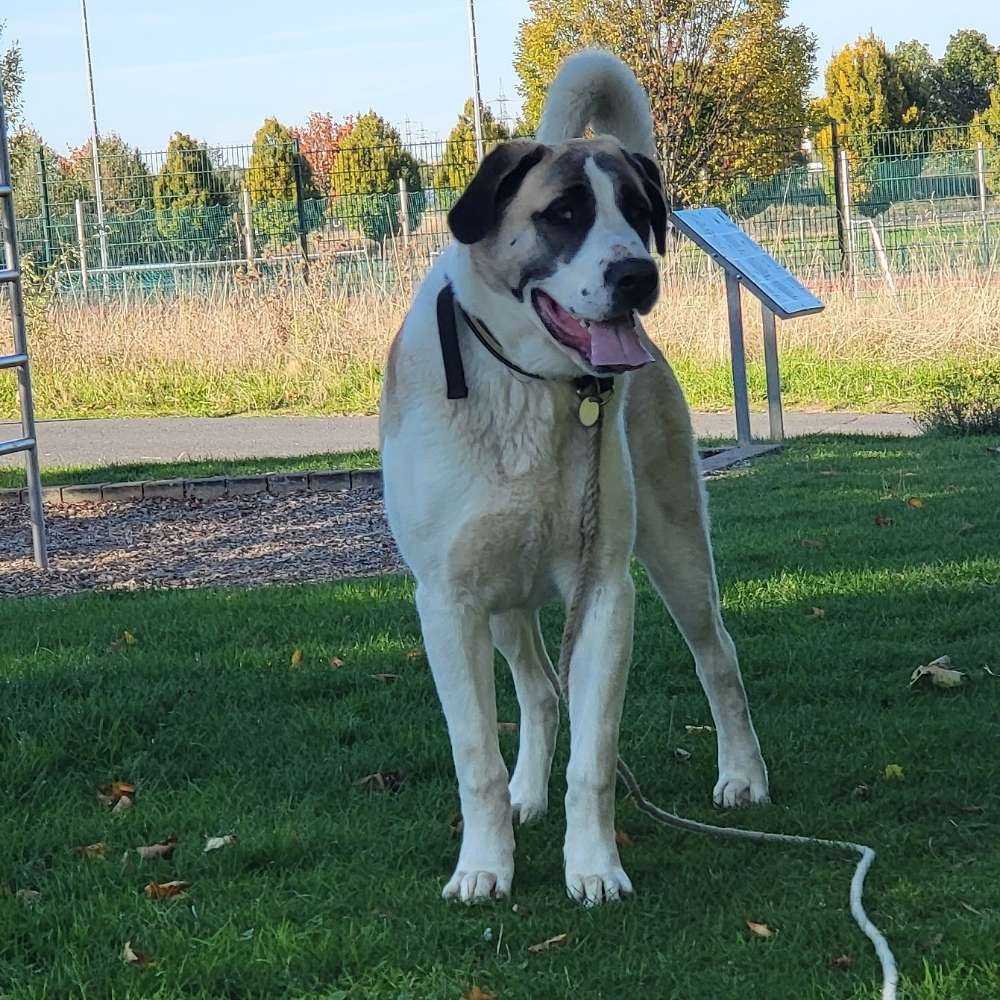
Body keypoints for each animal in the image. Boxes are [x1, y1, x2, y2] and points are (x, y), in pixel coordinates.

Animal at [378, 48, 768, 908]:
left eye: (638, 210)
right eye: (563, 214)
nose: (637, 276)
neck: (529, 384)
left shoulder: (605, 592)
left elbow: (594, 759)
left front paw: (592, 866)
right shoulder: (449, 602)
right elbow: (476, 758)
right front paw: (484, 865)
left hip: (677, 549)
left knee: (718, 656)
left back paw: (743, 774)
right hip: (504, 602)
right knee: (537, 690)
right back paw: (526, 795)